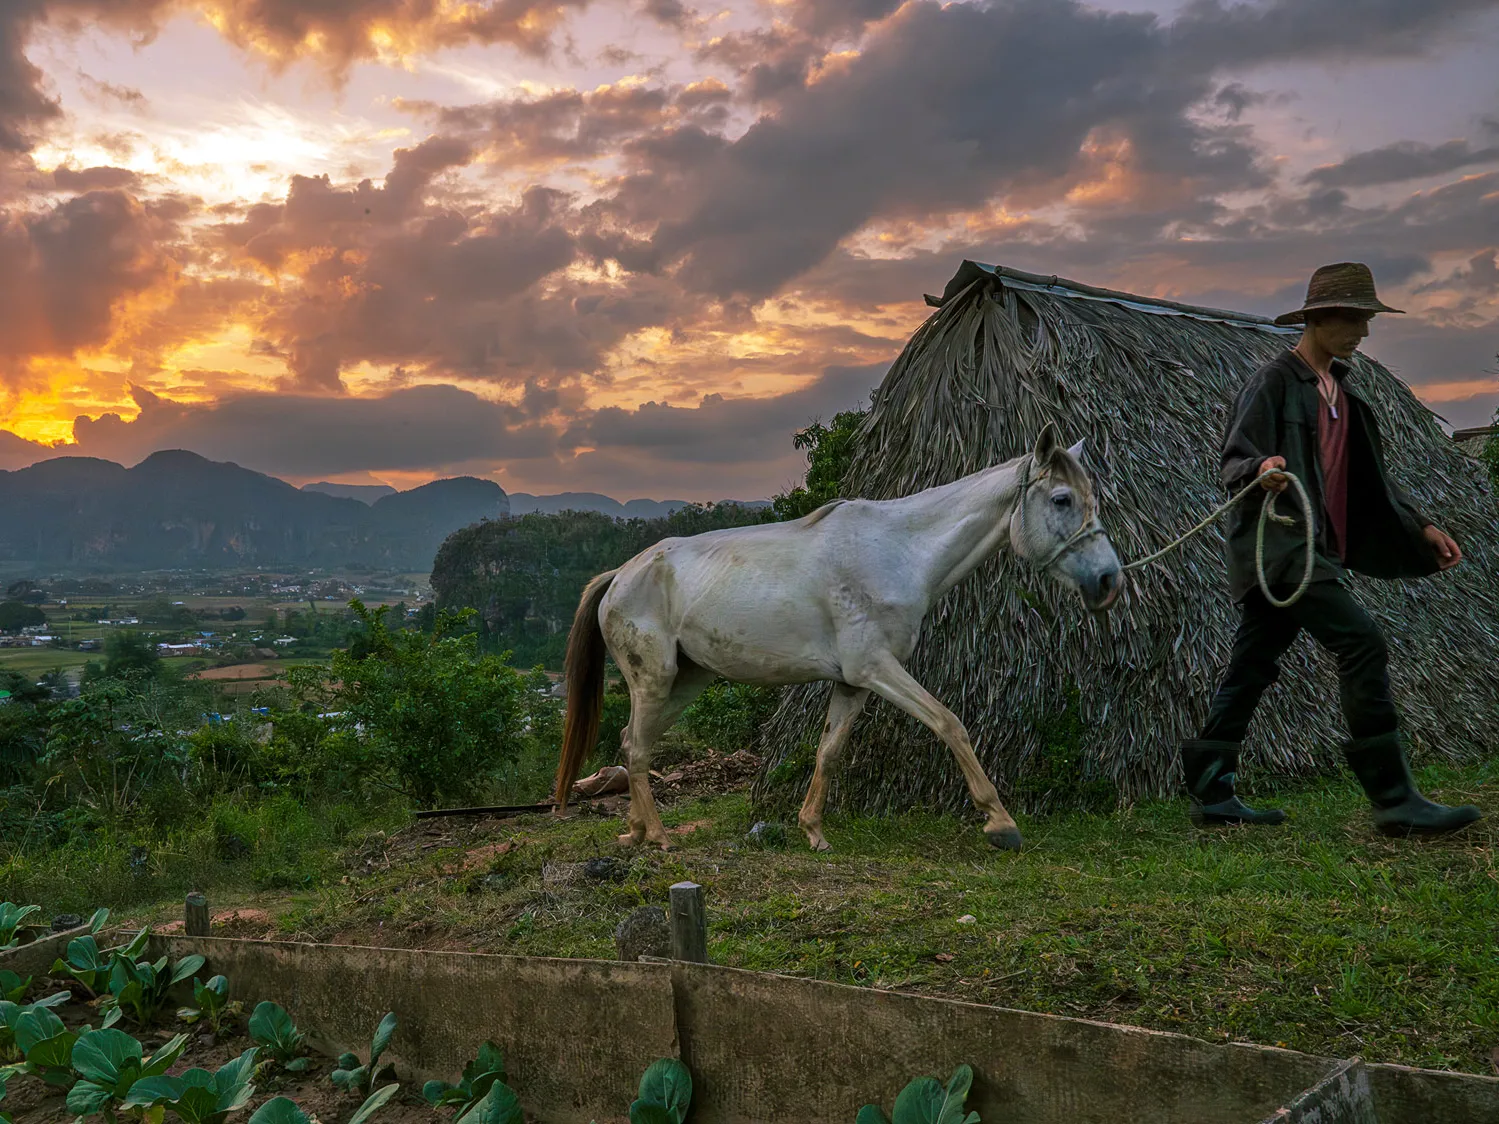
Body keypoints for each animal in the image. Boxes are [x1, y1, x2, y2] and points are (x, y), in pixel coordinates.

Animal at [557, 425, 1121, 851]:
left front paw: (813, 831)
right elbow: (950, 723)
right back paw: (659, 836)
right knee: (636, 748)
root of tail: (621, 575)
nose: (1109, 580)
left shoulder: (853, 682)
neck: (899, 553)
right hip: (654, 680)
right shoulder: (878, 668)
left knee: (631, 742)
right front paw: (1000, 823)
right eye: (1062, 499)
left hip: (686, 682)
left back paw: (635, 832)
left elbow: (829, 751)